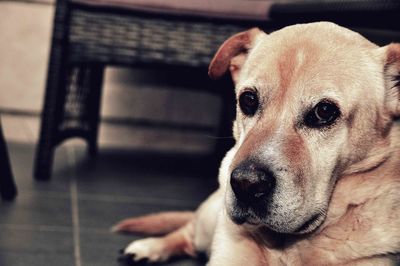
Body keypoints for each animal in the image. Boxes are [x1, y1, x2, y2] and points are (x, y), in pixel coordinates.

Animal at [113, 22, 400, 266]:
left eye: (324, 111)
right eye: (248, 100)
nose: (246, 184)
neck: (288, 246)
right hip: (208, 223)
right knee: (187, 233)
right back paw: (150, 247)